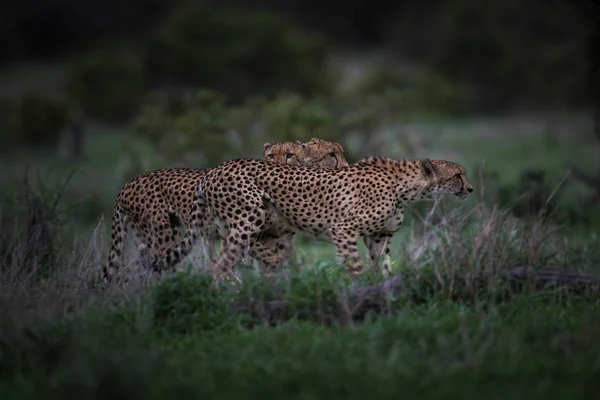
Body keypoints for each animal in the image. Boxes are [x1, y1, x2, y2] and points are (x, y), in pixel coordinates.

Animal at [102, 138, 346, 282]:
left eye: (290, 155)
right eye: (271, 156)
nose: (344, 165)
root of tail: (128, 183)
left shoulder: (277, 237)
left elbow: (271, 264)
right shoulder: (247, 233)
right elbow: (267, 258)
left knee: (143, 260)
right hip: (163, 232)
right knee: (157, 262)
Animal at [196, 155, 474, 282]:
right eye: (457, 175)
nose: (470, 189)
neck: (404, 186)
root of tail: (213, 170)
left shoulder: (379, 235)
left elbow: (382, 266)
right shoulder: (343, 229)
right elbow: (355, 265)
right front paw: (358, 289)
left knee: (229, 257)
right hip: (250, 216)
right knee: (220, 263)